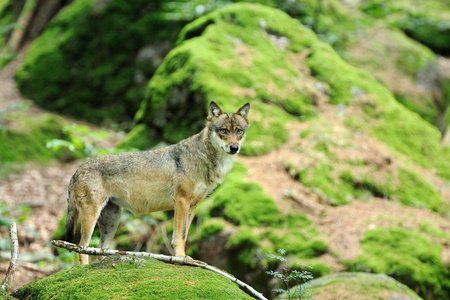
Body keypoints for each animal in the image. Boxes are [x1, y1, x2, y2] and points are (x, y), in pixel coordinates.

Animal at [65, 101, 251, 264]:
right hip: (92, 216)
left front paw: (185, 258)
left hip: (112, 219)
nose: (234, 148)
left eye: (239, 131)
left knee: (99, 249)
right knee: (82, 248)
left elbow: (184, 236)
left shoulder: (192, 205)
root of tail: (77, 170)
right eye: (223, 131)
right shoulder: (181, 201)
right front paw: (180, 258)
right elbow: (178, 237)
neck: (204, 157)